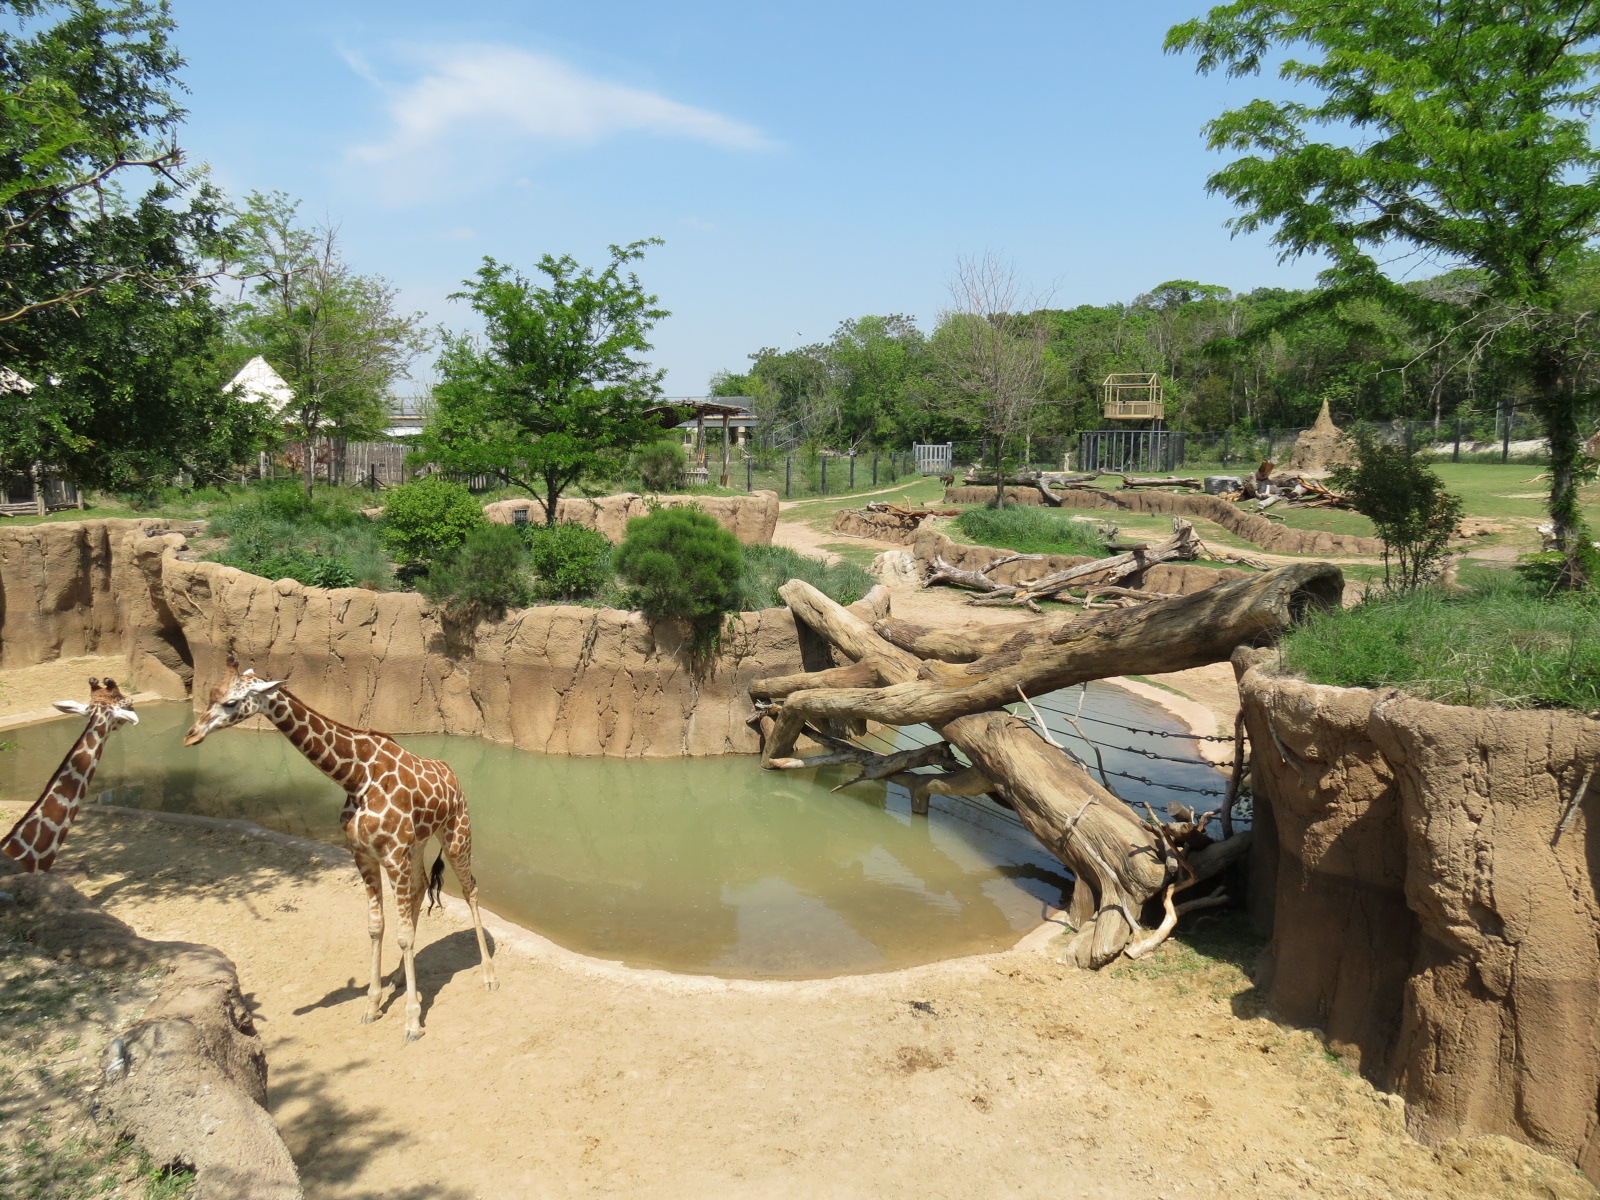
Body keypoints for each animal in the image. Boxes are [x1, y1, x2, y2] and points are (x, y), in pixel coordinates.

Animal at [182, 656, 496, 1041]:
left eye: (230, 702)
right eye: (212, 694)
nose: (191, 735)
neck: (356, 777)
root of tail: (453, 774)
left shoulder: (391, 854)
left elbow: (403, 935)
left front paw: (412, 1022)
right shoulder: (364, 855)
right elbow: (377, 927)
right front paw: (372, 1006)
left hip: (456, 833)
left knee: (470, 889)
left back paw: (488, 975)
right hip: (419, 844)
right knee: (422, 887)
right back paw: (397, 978)